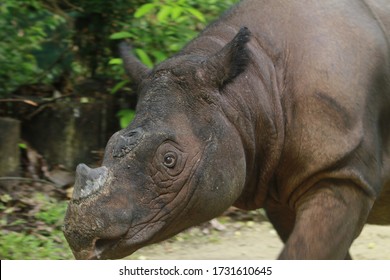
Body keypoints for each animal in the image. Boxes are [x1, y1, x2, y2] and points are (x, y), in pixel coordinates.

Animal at [64, 0, 390, 260]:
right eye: (110, 142)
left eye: (169, 160)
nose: (82, 237)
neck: (248, 91)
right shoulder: (279, 188)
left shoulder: (342, 173)